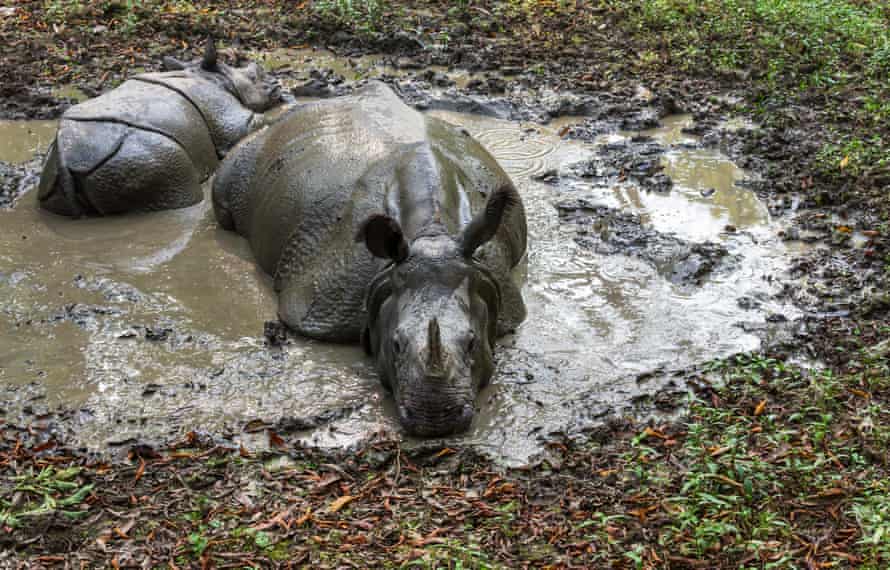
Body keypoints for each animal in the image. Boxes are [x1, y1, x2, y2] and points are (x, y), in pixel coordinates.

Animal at [37, 43, 280, 216]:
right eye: (254, 77)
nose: (277, 84)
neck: (215, 78)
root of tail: (68, 158)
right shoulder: (229, 119)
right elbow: (255, 122)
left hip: (58, 177)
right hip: (138, 159)